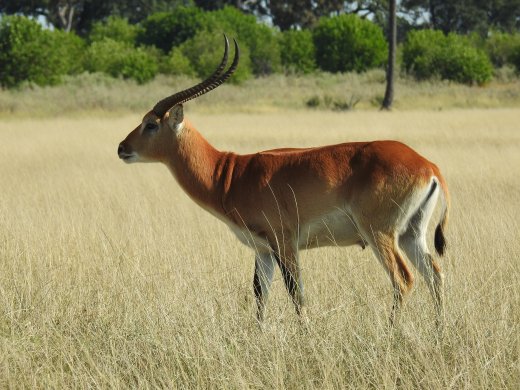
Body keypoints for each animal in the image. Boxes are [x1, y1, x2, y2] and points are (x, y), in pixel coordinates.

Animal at [117, 36, 446, 324]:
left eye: (150, 124)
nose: (122, 148)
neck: (230, 174)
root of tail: (427, 165)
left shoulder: (284, 242)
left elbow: (296, 294)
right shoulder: (262, 250)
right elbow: (259, 295)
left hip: (380, 233)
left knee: (403, 279)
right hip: (411, 234)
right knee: (435, 274)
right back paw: (438, 331)